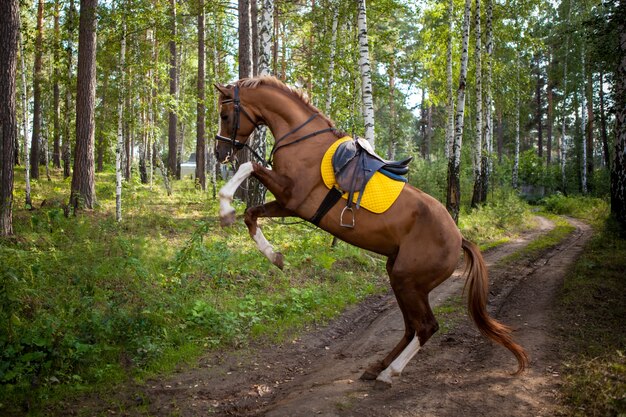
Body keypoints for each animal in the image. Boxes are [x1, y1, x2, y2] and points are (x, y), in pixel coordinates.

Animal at [212, 76, 524, 386]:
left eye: (225, 115)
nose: (220, 153)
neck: (303, 141)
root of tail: (459, 239)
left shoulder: (291, 195)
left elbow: (248, 166)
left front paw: (225, 208)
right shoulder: (290, 205)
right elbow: (250, 215)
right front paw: (274, 256)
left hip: (408, 281)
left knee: (426, 326)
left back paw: (390, 372)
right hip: (399, 278)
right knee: (411, 327)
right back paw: (377, 367)